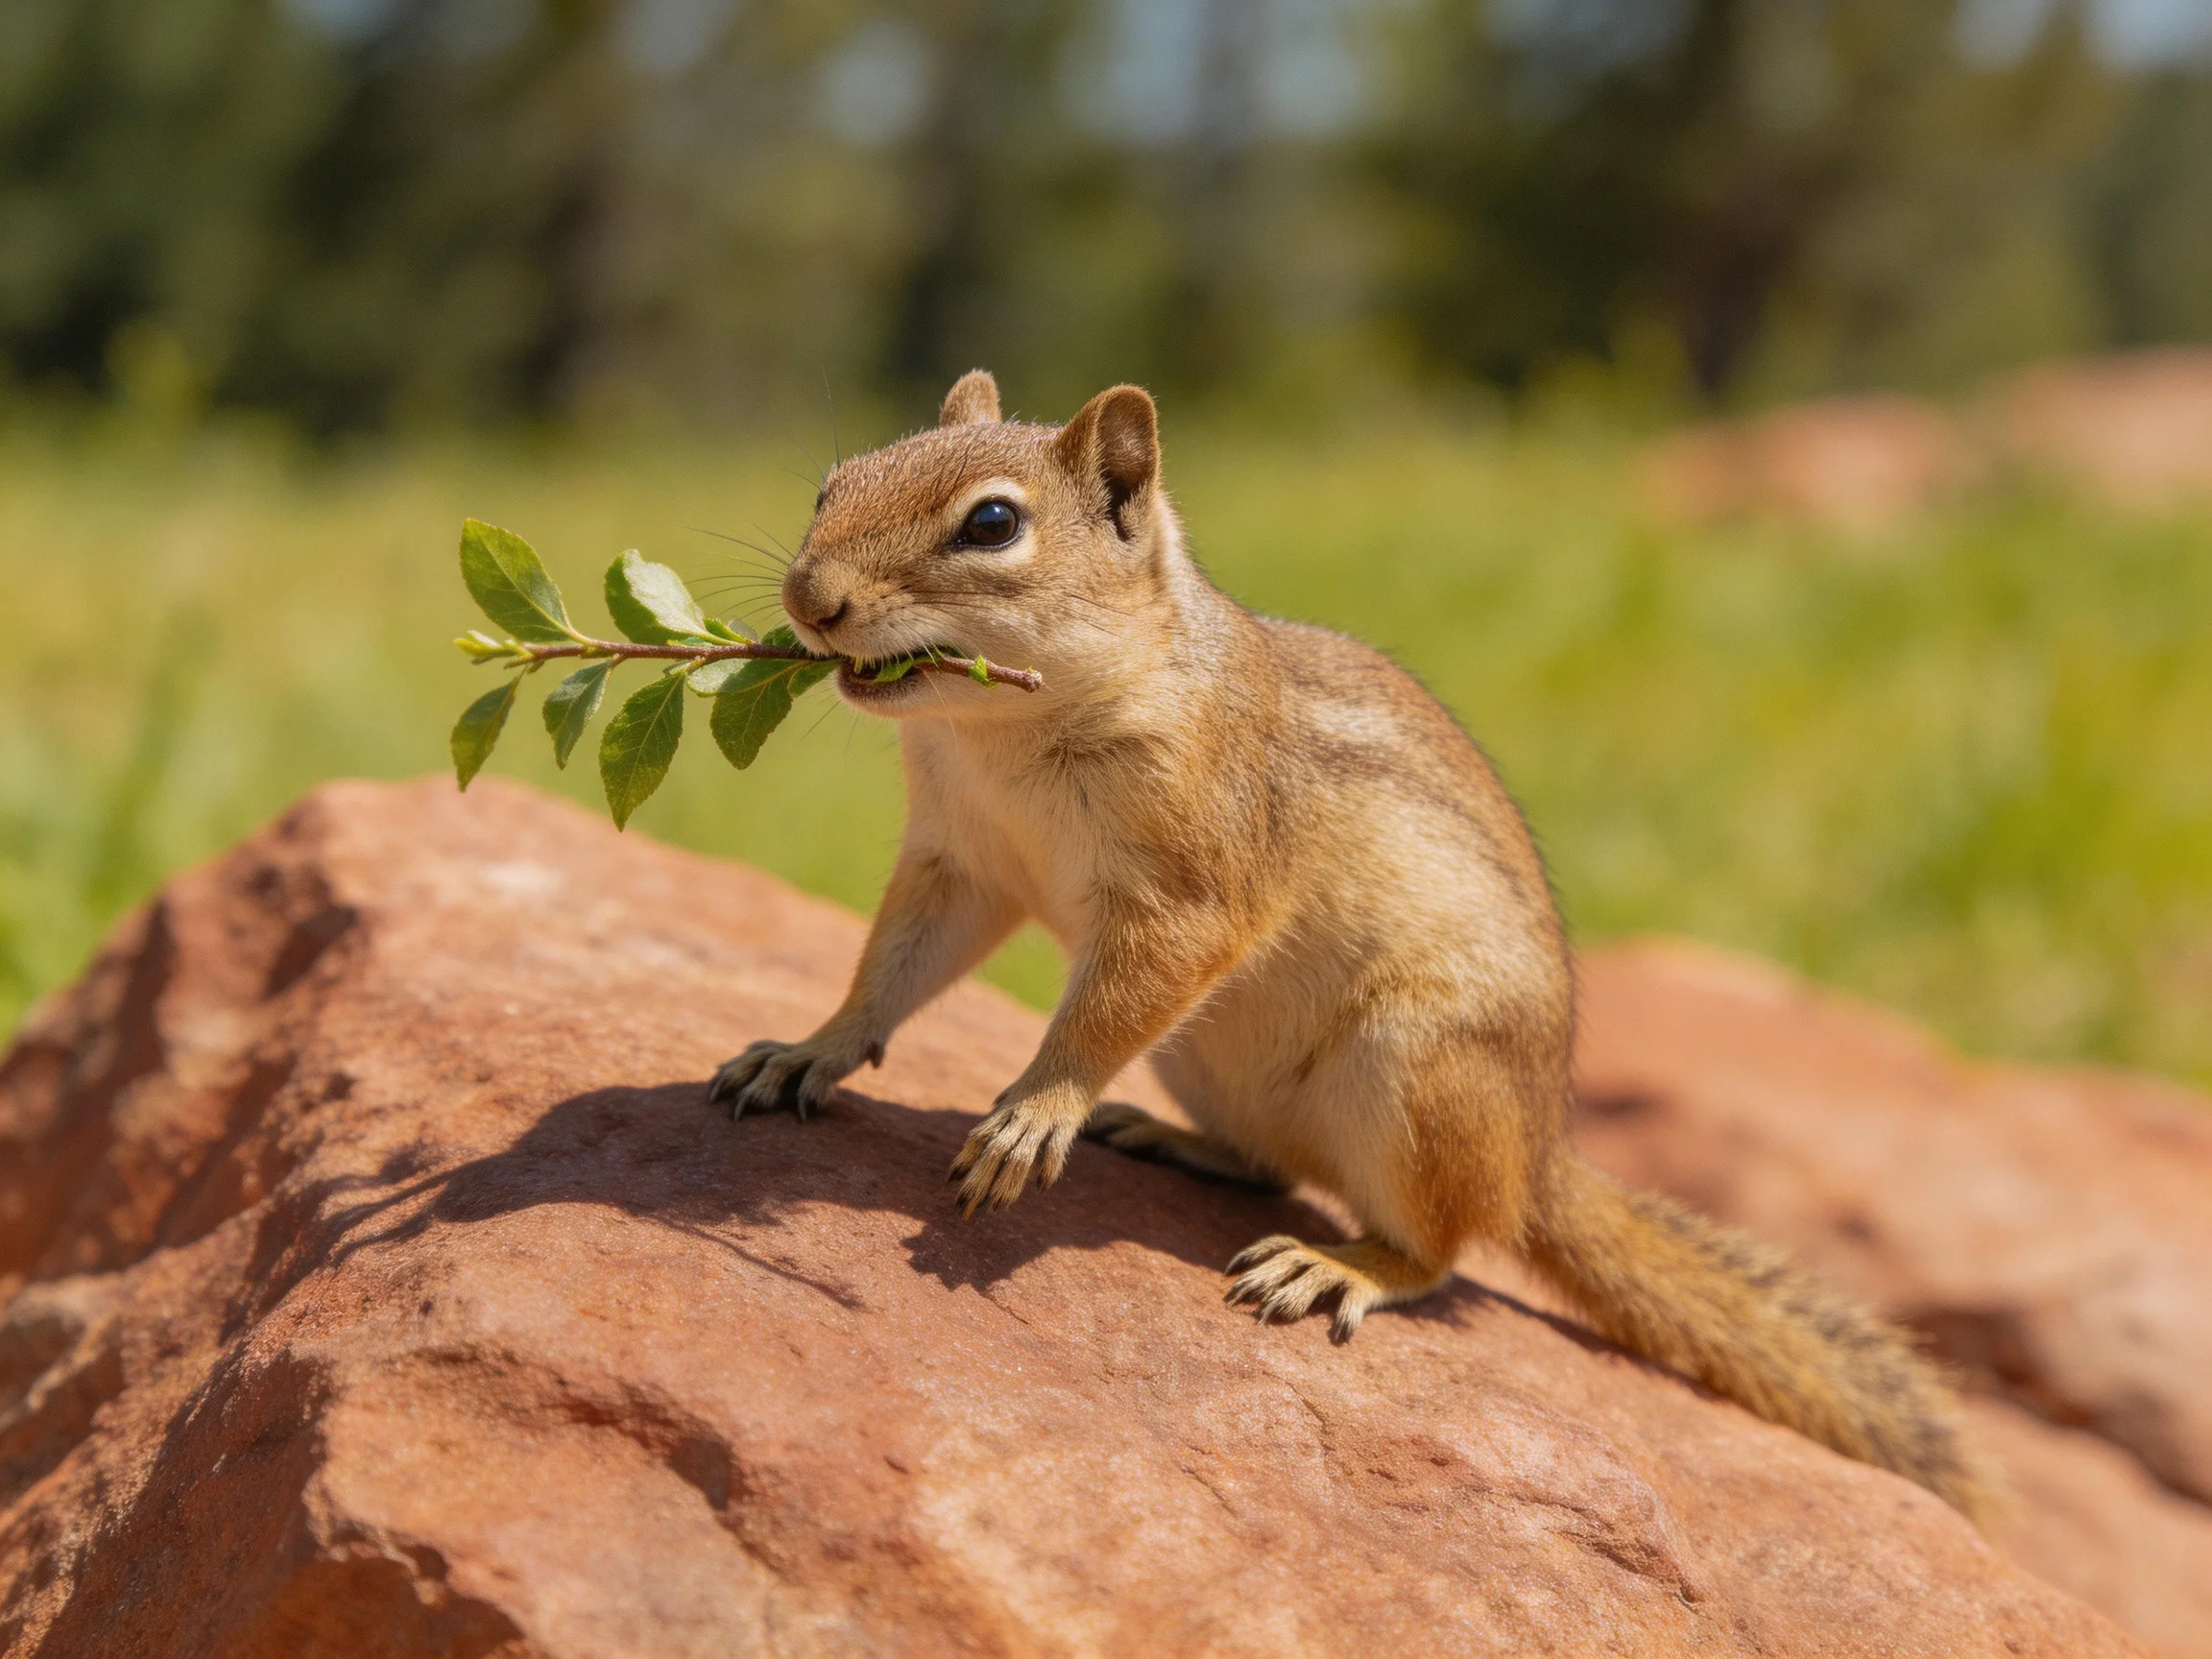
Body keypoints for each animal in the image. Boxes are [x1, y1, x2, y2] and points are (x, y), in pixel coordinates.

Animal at [709, 369, 1995, 1522]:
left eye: (991, 523)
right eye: (832, 482)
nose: (808, 598)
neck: (1001, 734)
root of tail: (1539, 1153)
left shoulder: (1191, 894)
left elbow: (1109, 1002)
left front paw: (1036, 1111)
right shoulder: (962, 862)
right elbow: (890, 969)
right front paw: (806, 1049)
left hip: (1413, 1075)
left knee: (1441, 1250)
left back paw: (1334, 1264)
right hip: (1209, 1055)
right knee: (1276, 1164)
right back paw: (1174, 1141)